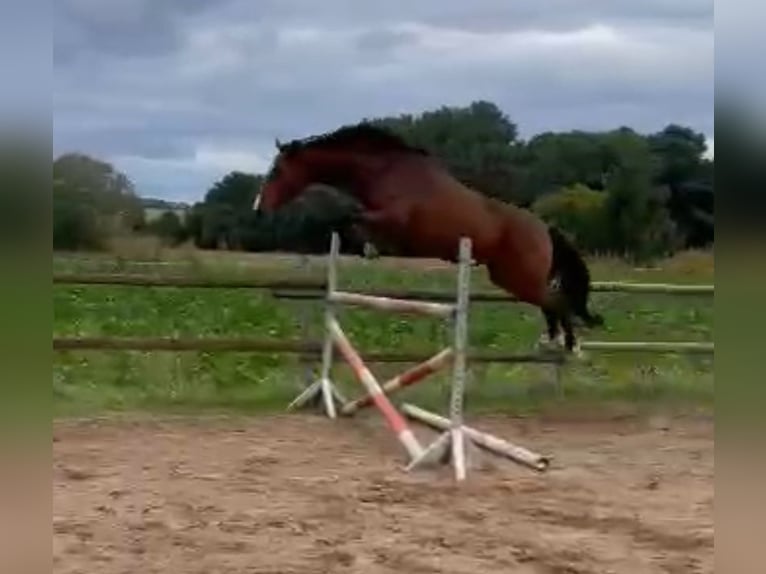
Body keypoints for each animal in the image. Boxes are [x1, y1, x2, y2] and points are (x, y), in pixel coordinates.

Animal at [255, 124, 604, 354]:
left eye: (277, 172)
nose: (258, 209)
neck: (384, 170)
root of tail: (544, 228)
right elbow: (352, 221)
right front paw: (367, 248)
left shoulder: (393, 218)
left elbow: (350, 219)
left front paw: (368, 247)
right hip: (509, 277)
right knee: (551, 303)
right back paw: (553, 342)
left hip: (519, 277)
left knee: (556, 301)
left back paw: (569, 345)